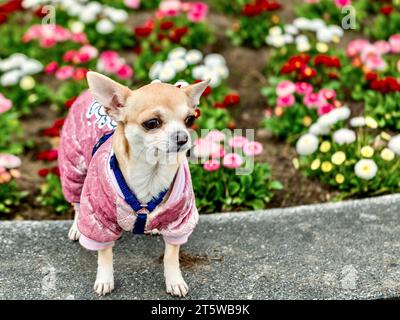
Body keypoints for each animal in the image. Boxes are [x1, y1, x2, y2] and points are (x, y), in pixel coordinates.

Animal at [59, 71, 209, 296]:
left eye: (189, 119)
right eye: (152, 123)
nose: (182, 137)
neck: (151, 174)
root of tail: (85, 94)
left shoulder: (179, 220)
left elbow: (171, 255)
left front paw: (174, 280)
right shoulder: (100, 219)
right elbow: (105, 253)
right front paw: (105, 279)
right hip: (74, 168)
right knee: (77, 202)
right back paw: (77, 227)